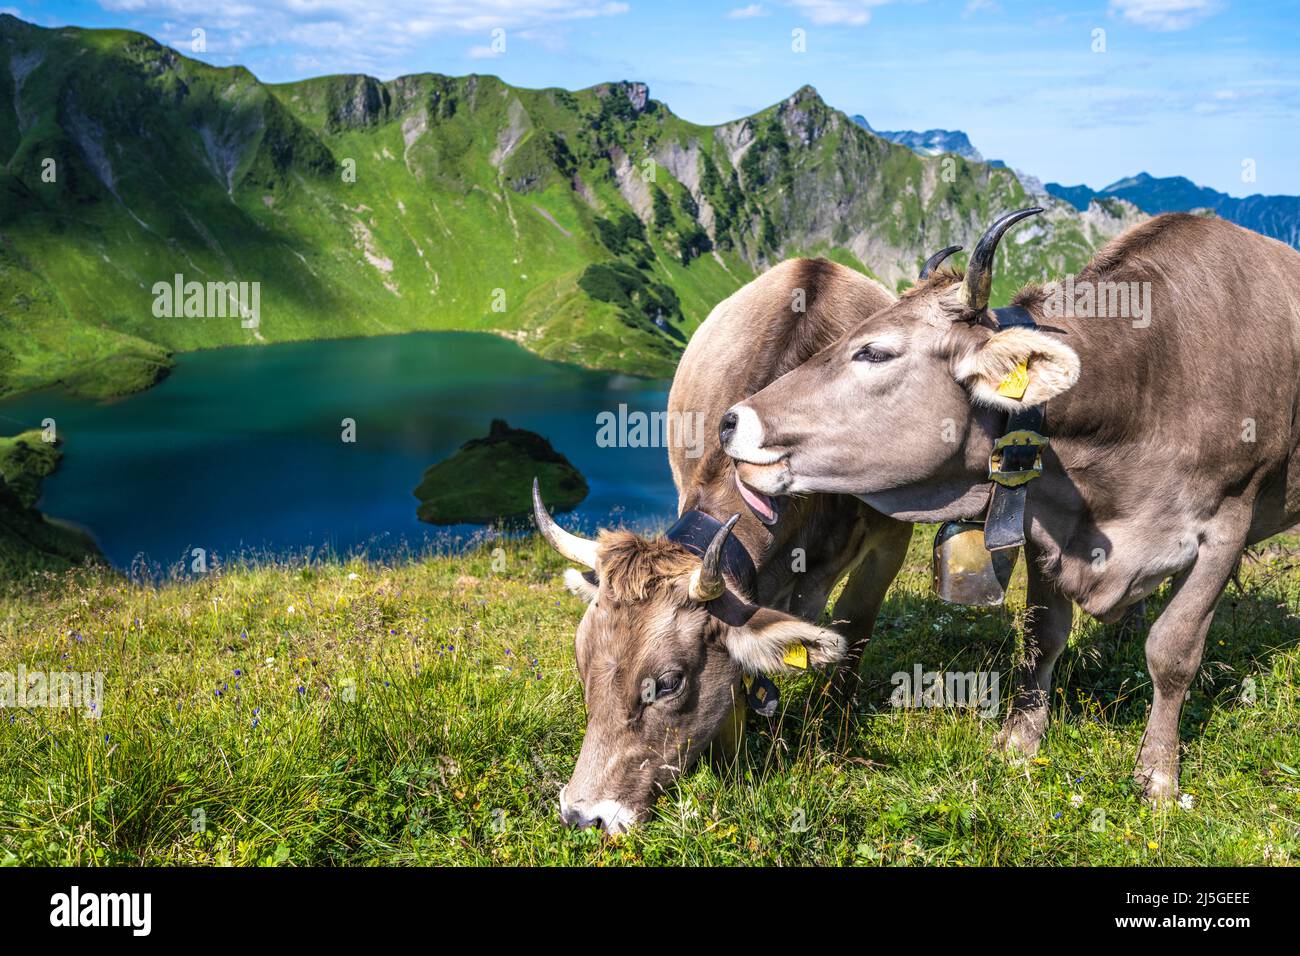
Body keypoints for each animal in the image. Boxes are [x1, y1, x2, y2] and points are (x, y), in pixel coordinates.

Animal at [530, 257, 915, 832]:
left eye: (668, 684)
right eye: (581, 662)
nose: (583, 815)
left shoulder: (892, 538)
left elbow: (855, 636)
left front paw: (835, 737)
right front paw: (730, 765)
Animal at [722, 213, 1300, 806]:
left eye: (874, 353)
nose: (730, 420)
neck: (1147, 385)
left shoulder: (1226, 527)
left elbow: (1174, 652)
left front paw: (1159, 775)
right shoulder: (1048, 525)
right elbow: (1042, 637)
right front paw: (1019, 742)